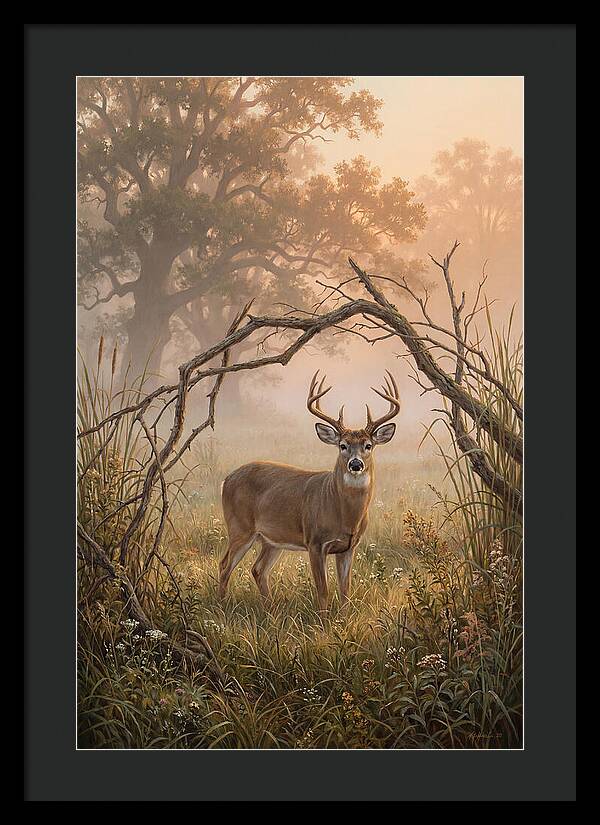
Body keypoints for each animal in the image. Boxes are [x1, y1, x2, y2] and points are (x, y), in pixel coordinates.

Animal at [218, 370, 400, 612]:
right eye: (342, 445)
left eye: (368, 445)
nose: (355, 464)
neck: (344, 515)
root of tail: (226, 479)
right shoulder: (315, 542)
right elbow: (323, 591)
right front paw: (324, 620)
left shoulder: (349, 547)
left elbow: (345, 590)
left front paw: (343, 617)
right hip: (240, 528)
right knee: (224, 565)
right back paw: (221, 606)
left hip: (271, 539)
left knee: (258, 569)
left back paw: (270, 611)